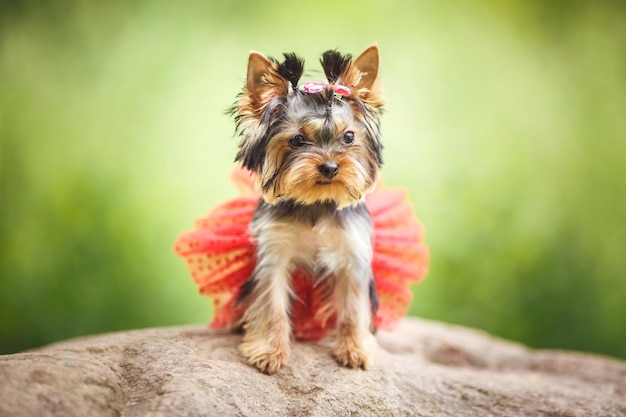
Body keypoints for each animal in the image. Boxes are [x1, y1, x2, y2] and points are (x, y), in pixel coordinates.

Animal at [230, 45, 382, 374]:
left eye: (349, 137)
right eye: (297, 140)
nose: (330, 167)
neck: (316, 202)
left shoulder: (353, 253)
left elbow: (353, 307)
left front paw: (354, 349)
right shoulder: (274, 251)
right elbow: (271, 303)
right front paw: (269, 351)